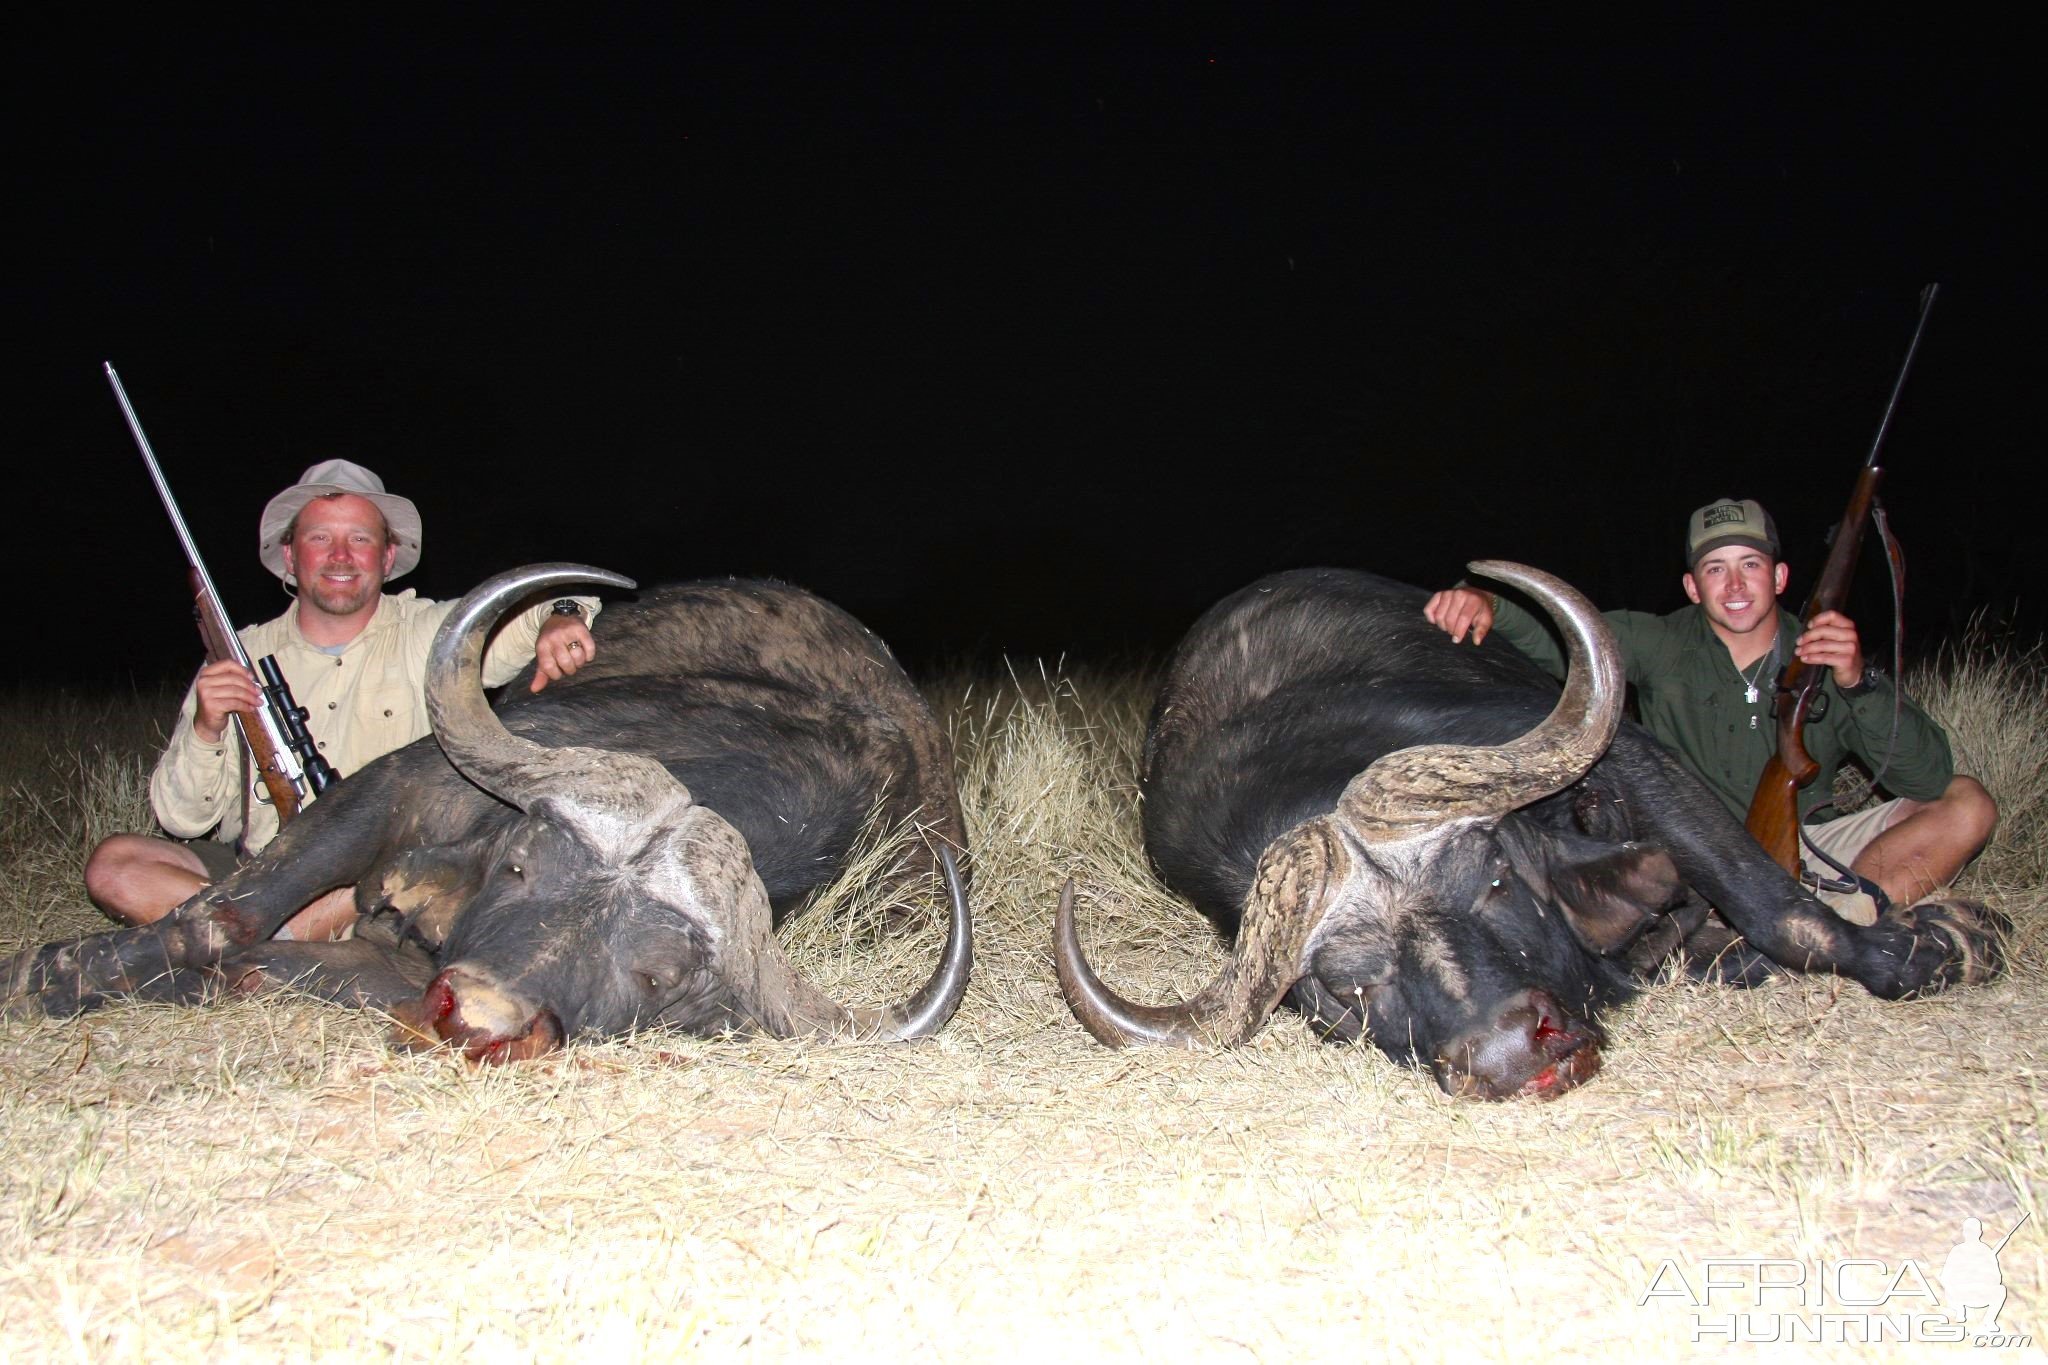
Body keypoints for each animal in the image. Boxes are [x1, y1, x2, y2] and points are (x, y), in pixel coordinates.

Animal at [0, 560, 966, 1064]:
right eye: (519, 865)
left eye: (655, 975)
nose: (474, 1015)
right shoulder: (394, 787)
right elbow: (221, 918)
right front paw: (46, 974)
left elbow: (260, 965)